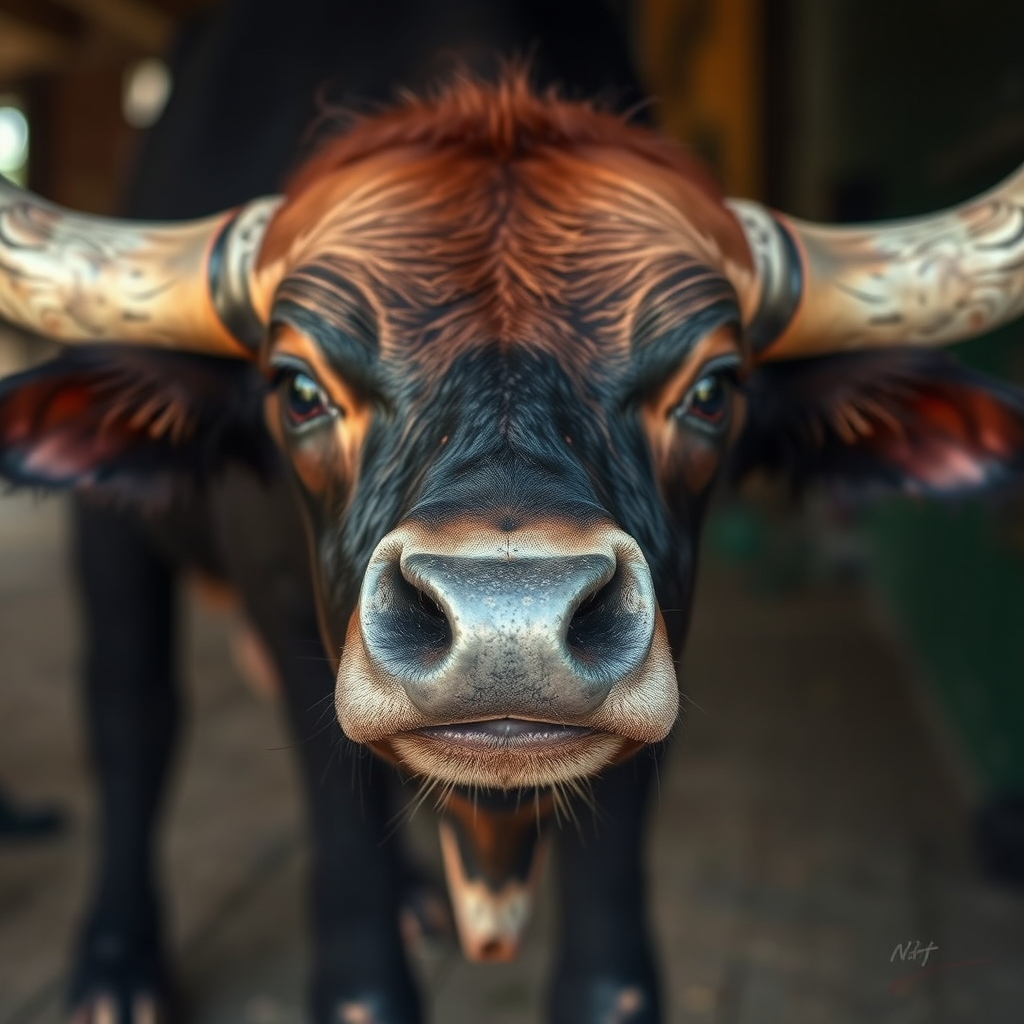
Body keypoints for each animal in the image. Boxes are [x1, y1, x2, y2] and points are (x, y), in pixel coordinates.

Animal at [3, 70, 1024, 1024]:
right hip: (112, 532)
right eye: (297, 388)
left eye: (712, 390)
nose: (510, 631)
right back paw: (117, 971)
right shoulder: (286, 617)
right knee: (131, 711)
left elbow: (610, 975)